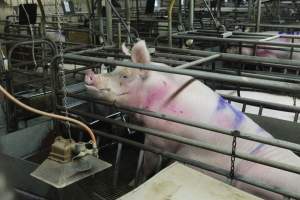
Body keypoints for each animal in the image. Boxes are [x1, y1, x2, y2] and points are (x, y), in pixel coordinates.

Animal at [84, 40, 300, 198]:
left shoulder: (158, 137)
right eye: (113, 69)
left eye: (125, 76)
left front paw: (134, 183)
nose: (88, 74)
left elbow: (148, 163)